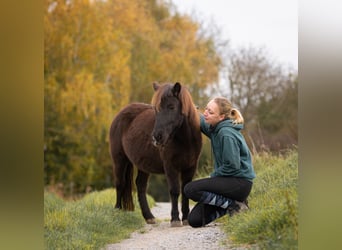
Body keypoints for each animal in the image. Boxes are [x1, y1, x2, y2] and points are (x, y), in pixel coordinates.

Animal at [109, 82, 202, 227]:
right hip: (119, 160)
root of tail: (120, 115)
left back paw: (149, 217)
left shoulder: (190, 167)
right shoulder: (170, 167)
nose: (157, 137)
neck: (185, 140)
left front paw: (186, 218)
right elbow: (174, 190)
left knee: (140, 186)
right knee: (120, 184)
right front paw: (175, 219)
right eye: (156, 109)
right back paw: (117, 212)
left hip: (142, 165)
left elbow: (185, 190)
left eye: (171, 107)